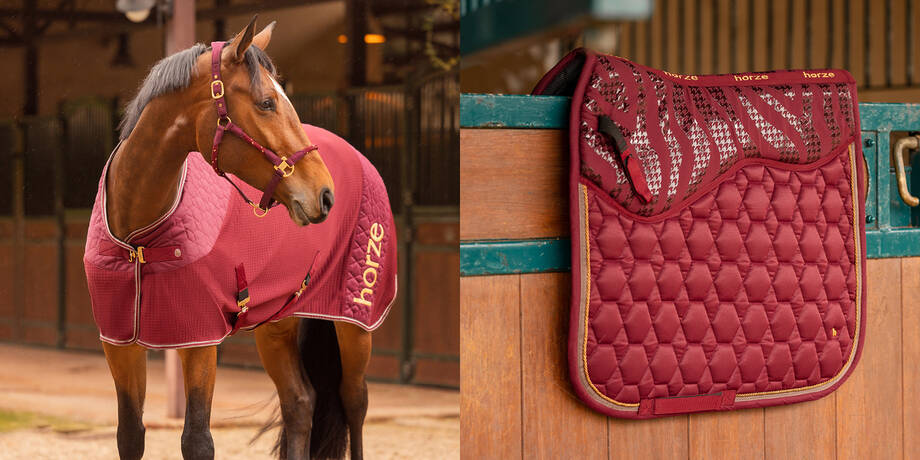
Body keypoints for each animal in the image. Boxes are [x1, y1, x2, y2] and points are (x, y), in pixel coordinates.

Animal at [82, 17, 397, 460]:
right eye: (266, 103)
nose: (324, 194)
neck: (138, 239)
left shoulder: (199, 340)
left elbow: (197, 440)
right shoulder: (119, 344)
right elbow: (130, 435)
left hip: (354, 321)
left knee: (354, 400)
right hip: (277, 324)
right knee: (301, 402)